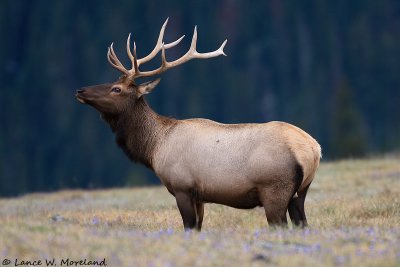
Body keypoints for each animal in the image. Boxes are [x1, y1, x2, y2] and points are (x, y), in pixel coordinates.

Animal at [76, 19, 322, 232]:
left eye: (116, 89)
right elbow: (199, 227)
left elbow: (189, 226)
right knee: (303, 224)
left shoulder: (182, 187)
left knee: (281, 225)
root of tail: (313, 149)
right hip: (301, 192)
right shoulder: (200, 196)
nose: (80, 90)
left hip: (274, 190)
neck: (154, 147)